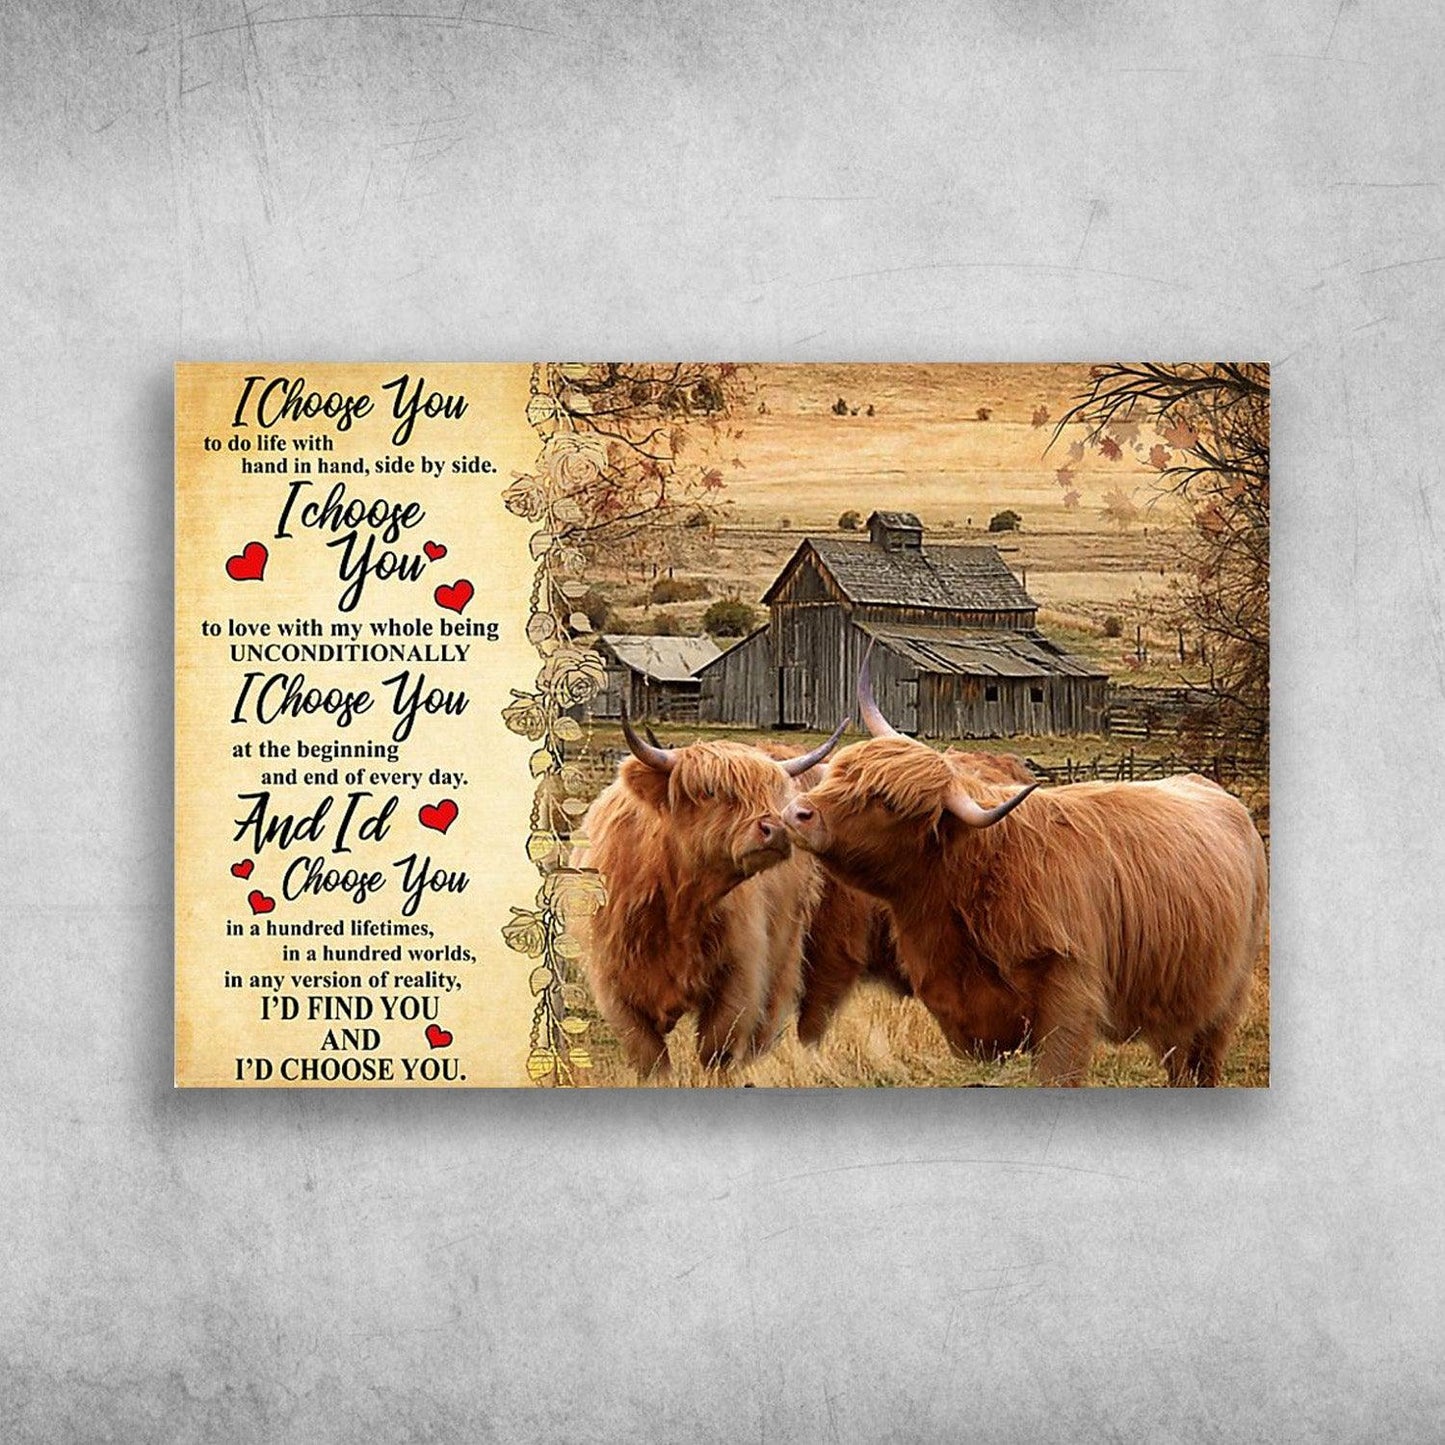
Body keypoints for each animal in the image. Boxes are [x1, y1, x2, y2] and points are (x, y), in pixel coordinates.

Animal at [573, 710, 845, 1077]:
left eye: (771, 793)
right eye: (711, 790)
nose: (775, 829)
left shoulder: (741, 974)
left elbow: (718, 1049)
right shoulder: (613, 984)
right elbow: (649, 1056)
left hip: (785, 952)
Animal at [780, 666, 1268, 1086]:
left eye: (887, 803)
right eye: (843, 770)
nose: (798, 812)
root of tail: (1214, 790)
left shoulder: (1069, 1000)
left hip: (1224, 999)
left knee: (1202, 1061)